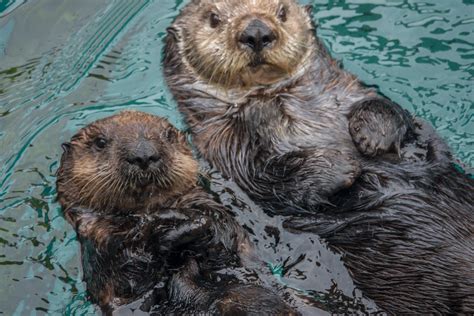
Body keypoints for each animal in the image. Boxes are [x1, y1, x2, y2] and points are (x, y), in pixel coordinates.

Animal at [55, 110, 296, 314]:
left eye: (168, 135)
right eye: (100, 142)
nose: (143, 154)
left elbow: (224, 238)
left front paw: (188, 221)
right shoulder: (102, 247)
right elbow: (129, 276)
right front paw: (163, 225)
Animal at [163, 0, 474, 314]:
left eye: (282, 12)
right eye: (214, 18)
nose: (257, 32)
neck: (276, 98)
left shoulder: (349, 92)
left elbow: (393, 113)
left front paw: (374, 135)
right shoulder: (229, 149)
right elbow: (268, 180)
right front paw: (341, 166)